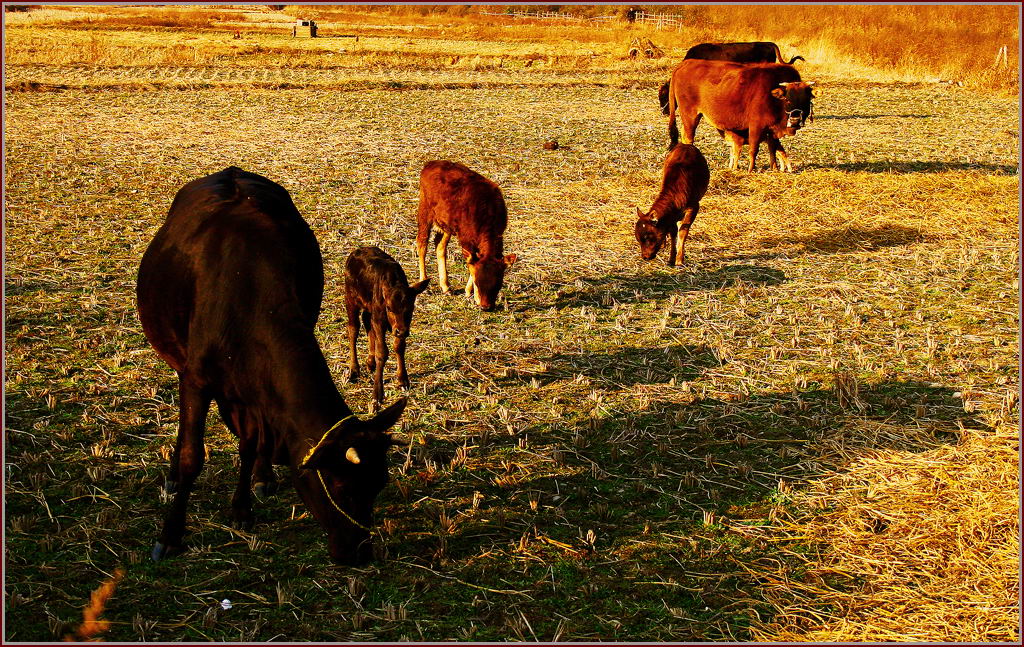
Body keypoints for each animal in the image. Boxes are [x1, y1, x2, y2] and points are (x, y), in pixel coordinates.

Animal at [137, 166, 407, 565]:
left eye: (379, 484)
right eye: (340, 485)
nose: (359, 552)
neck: (245, 295)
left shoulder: (255, 393)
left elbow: (250, 444)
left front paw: (242, 508)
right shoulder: (197, 380)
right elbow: (192, 455)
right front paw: (170, 535)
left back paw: (263, 477)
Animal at [342, 244, 425, 411]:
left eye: (411, 308)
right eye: (389, 308)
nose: (401, 331)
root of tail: (356, 251)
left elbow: (399, 346)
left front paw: (402, 380)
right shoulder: (380, 318)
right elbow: (382, 352)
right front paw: (377, 397)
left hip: (368, 306)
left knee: (367, 322)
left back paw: (370, 362)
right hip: (350, 298)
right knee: (353, 328)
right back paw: (354, 369)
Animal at [413, 161, 516, 313]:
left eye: (499, 283)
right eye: (478, 282)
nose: (486, 307)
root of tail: (429, 164)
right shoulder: (466, 238)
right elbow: (470, 262)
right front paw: (471, 294)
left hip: (446, 225)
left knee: (440, 246)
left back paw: (446, 287)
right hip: (425, 211)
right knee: (422, 243)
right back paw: (423, 281)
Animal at [667, 59, 819, 171]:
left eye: (806, 100)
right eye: (787, 99)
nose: (795, 120)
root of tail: (686, 63)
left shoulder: (771, 131)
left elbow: (773, 149)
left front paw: (774, 168)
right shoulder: (756, 126)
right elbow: (754, 150)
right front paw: (751, 170)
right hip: (690, 116)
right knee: (688, 138)